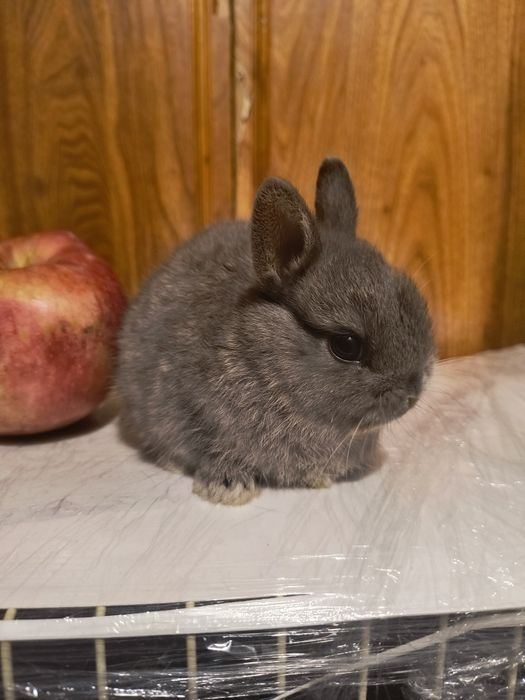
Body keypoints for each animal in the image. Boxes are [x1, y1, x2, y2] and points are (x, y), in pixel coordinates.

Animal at [117, 158, 434, 505]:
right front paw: (228, 487)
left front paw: (318, 477)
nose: (411, 395)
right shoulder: (192, 411)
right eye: (346, 345)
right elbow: (211, 450)